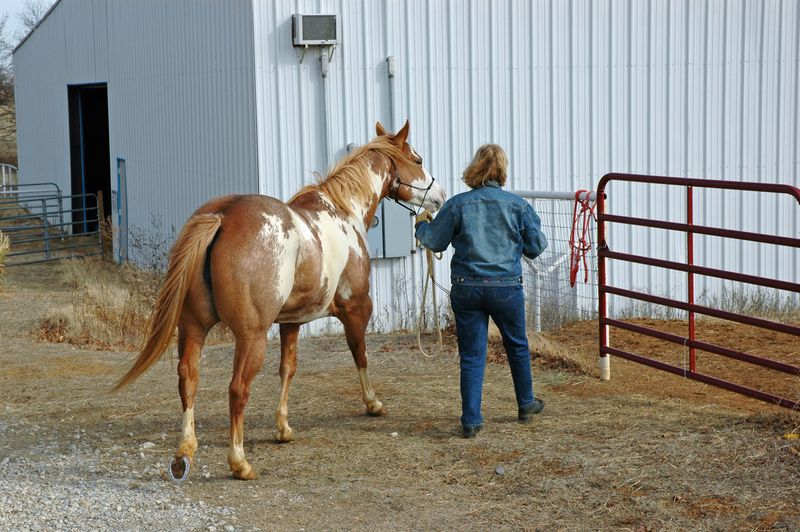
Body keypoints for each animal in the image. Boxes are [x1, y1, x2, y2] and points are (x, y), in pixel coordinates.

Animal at [113, 122, 446, 480]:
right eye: (417, 158)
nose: (439, 196)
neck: (342, 211)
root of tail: (222, 216)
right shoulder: (357, 308)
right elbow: (361, 355)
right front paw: (373, 403)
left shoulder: (291, 322)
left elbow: (288, 369)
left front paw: (283, 428)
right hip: (251, 337)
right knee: (237, 389)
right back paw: (240, 462)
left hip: (193, 327)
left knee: (188, 379)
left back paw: (185, 451)